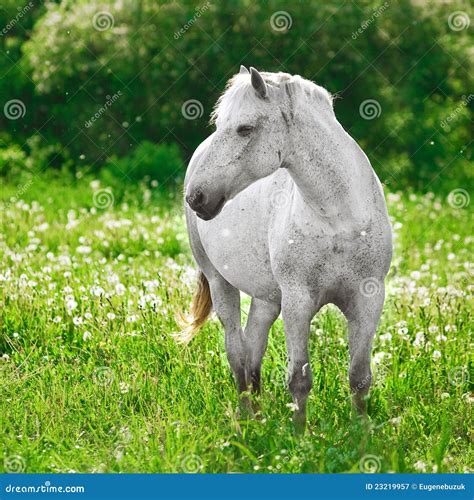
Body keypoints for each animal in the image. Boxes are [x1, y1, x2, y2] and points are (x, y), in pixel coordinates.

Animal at [180, 67, 390, 434]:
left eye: (245, 128)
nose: (196, 197)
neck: (338, 219)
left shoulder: (368, 300)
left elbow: (359, 377)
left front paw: (361, 433)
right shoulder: (298, 301)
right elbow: (299, 378)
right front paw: (300, 435)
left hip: (267, 298)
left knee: (252, 352)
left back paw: (258, 417)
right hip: (221, 283)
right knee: (237, 354)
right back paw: (247, 419)